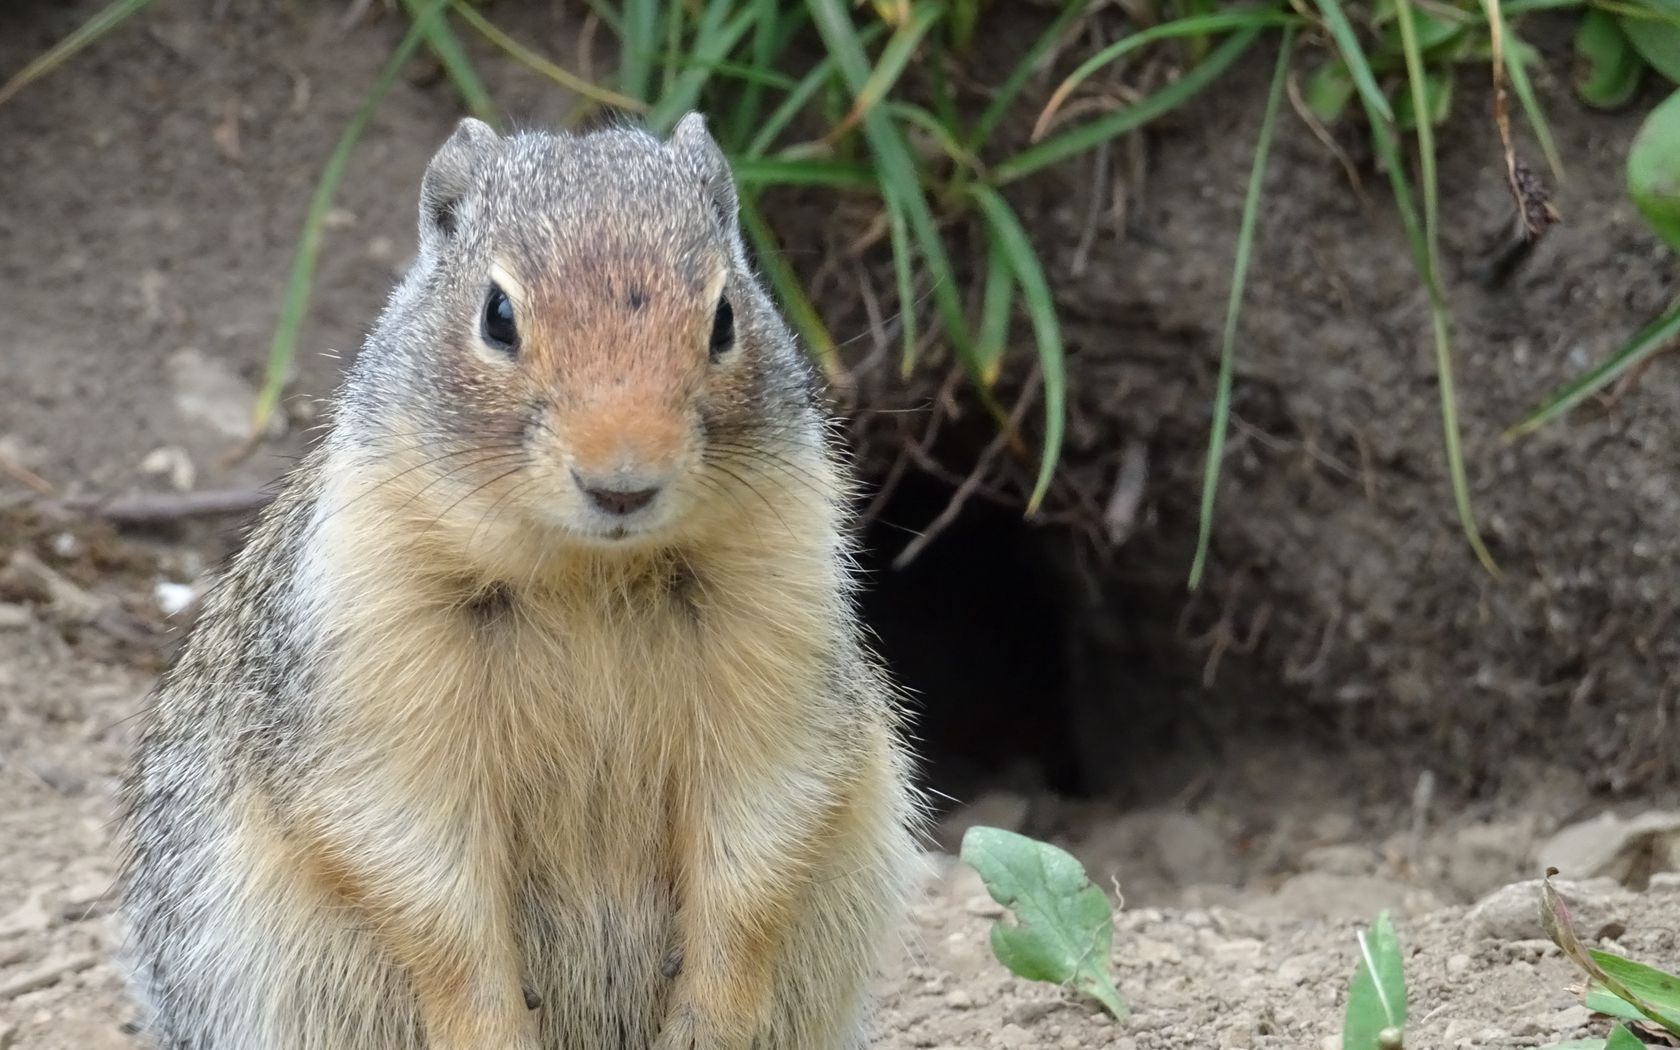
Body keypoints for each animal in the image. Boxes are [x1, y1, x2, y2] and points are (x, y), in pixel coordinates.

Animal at [115, 112, 934, 1048]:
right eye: (497, 315)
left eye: (726, 316)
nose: (623, 482)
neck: (588, 572)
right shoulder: (376, 678)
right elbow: (431, 887)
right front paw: (490, 1029)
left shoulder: (778, 641)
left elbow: (755, 843)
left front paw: (709, 1022)